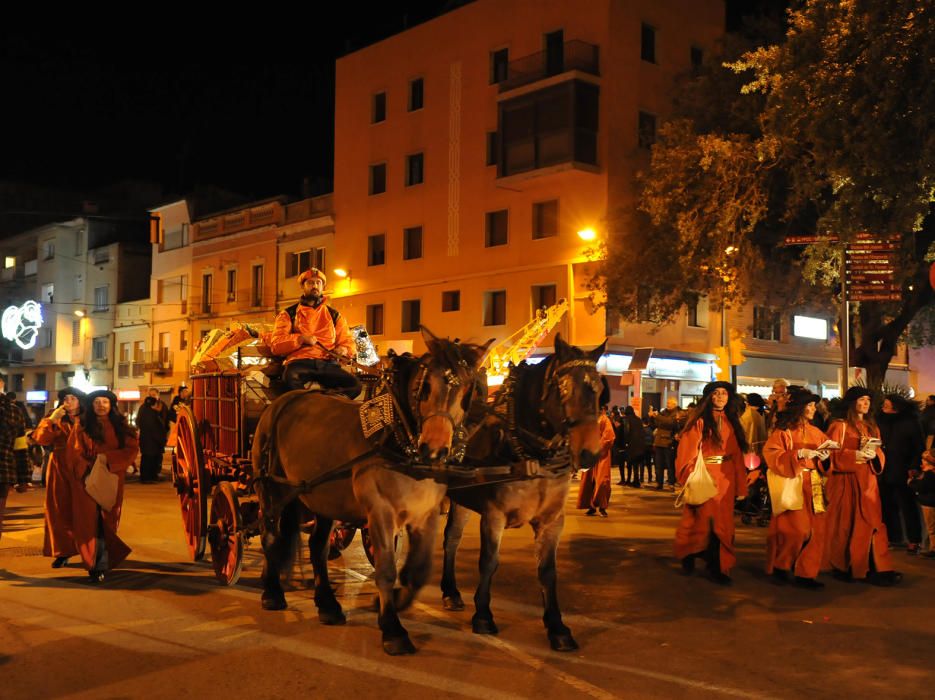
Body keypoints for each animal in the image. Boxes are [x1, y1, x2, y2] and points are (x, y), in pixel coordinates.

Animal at [252, 328, 494, 656]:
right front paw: (392, 628)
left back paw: (327, 604)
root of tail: (281, 402)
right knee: (270, 536)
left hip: (321, 497)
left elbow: (419, 569)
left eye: (468, 392)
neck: (398, 440)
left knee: (317, 546)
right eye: (426, 387)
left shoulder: (425, 514)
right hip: (272, 490)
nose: (435, 448)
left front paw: (396, 601)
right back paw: (272, 591)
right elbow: (386, 569)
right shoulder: (380, 513)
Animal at [444, 334, 612, 652]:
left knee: (451, 540)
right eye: (563, 389)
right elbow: (489, 562)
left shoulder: (552, 520)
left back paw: (450, 592)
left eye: (598, 390)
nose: (589, 454)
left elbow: (547, 570)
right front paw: (483, 615)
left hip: (460, 500)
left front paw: (557, 627)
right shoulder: (493, 515)